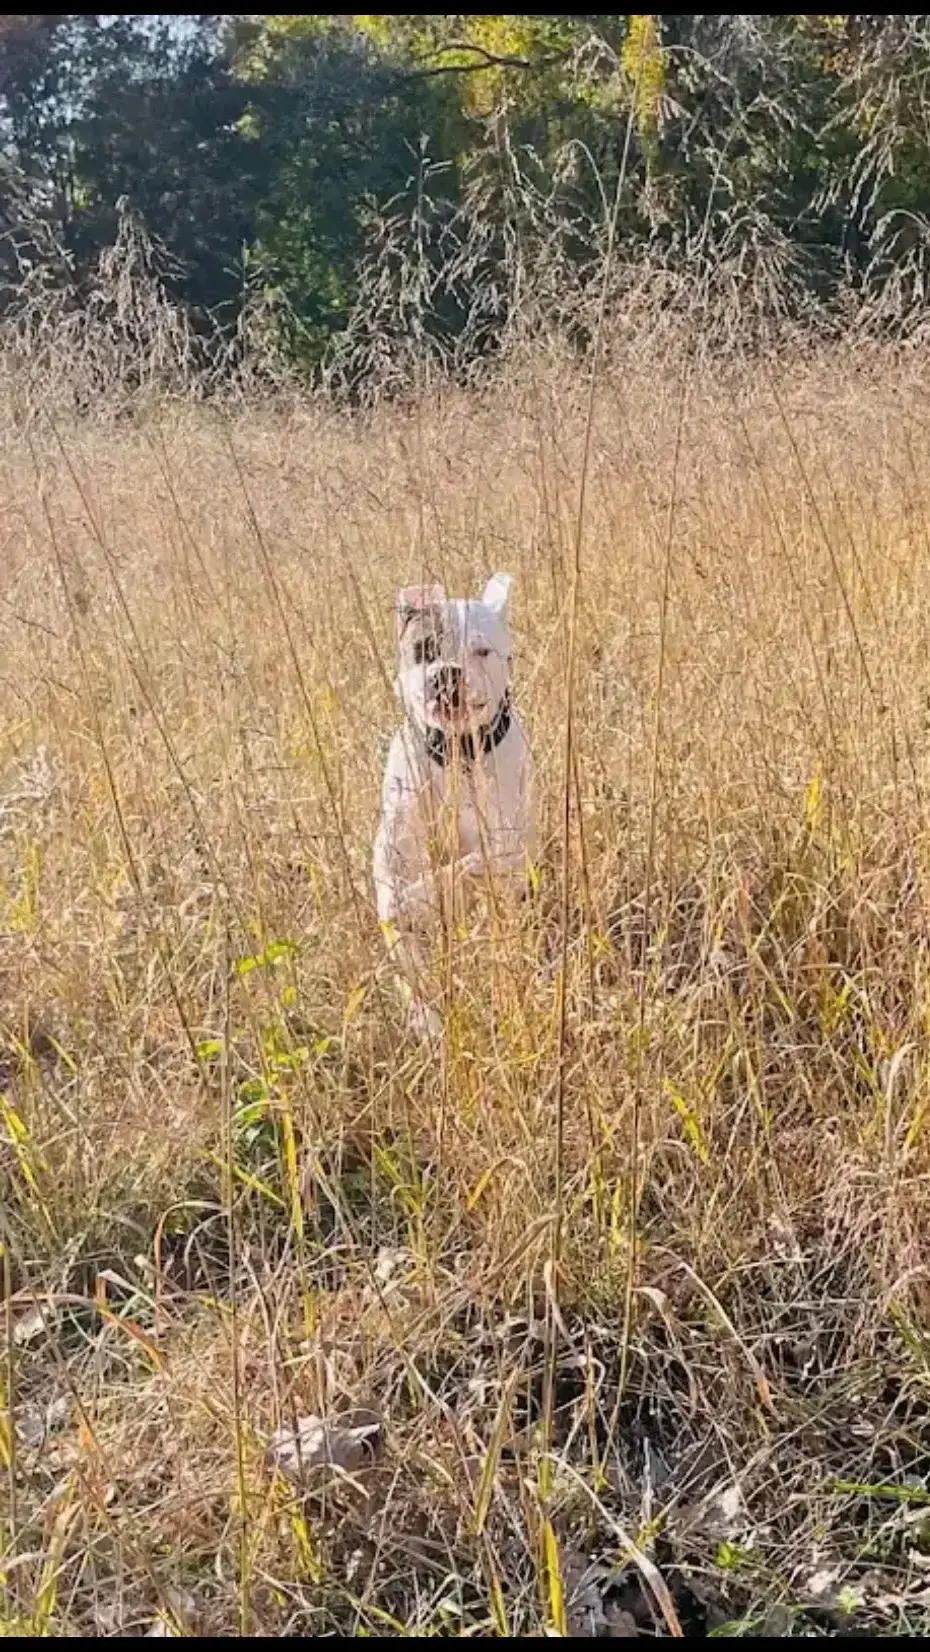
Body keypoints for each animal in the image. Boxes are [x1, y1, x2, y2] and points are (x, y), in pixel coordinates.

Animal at [374, 568, 538, 1030]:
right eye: (424, 649)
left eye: (482, 651)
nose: (446, 673)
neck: (457, 755)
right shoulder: (392, 854)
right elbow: (395, 901)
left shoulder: (503, 846)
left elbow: (460, 869)